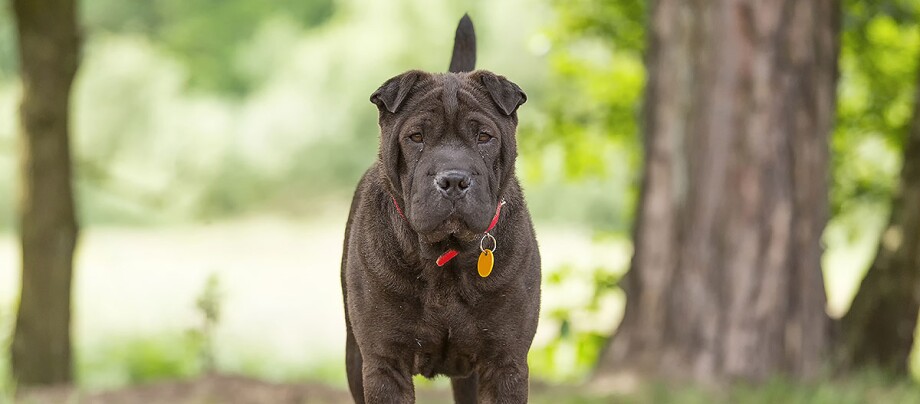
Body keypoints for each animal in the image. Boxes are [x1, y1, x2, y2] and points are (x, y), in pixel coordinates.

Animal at [340, 14, 540, 402]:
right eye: (416, 137)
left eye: (484, 137)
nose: (453, 180)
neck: (446, 257)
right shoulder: (384, 363)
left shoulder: (505, 362)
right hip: (355, 356)